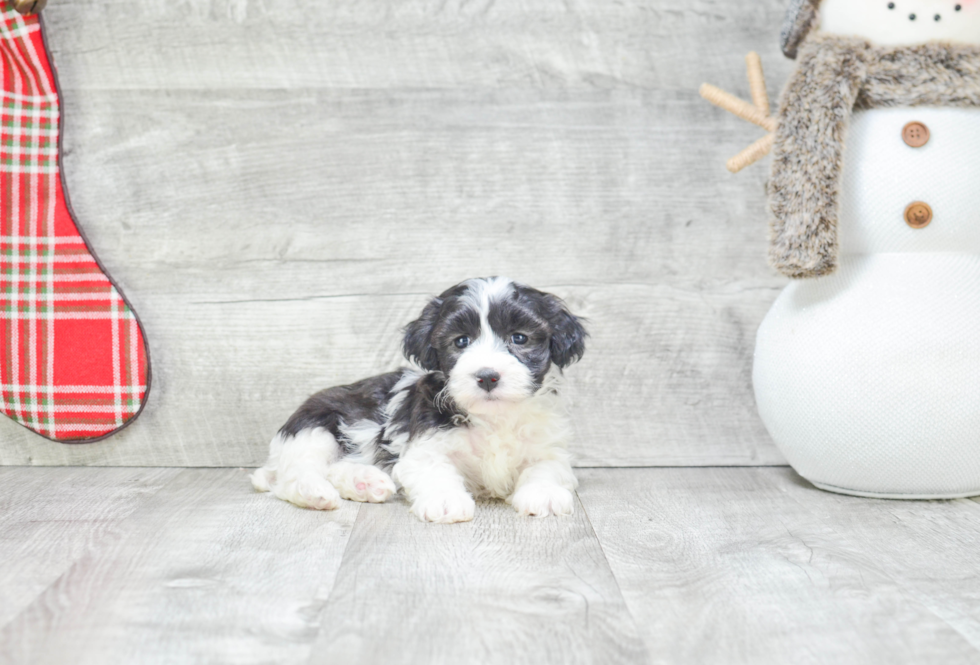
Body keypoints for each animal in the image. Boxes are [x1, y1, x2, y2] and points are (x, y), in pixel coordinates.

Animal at [255, 276, 588, 524]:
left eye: (519, 338)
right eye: (461, 341)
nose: (487, 376)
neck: (493, 417)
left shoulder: (547, 446)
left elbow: (546, 467)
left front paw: (543, 493)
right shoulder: (426, 446)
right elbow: (435, 470)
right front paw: (445, 500)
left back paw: (365, 483)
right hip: (315, 428)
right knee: (295, 474)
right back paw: (314, 492)